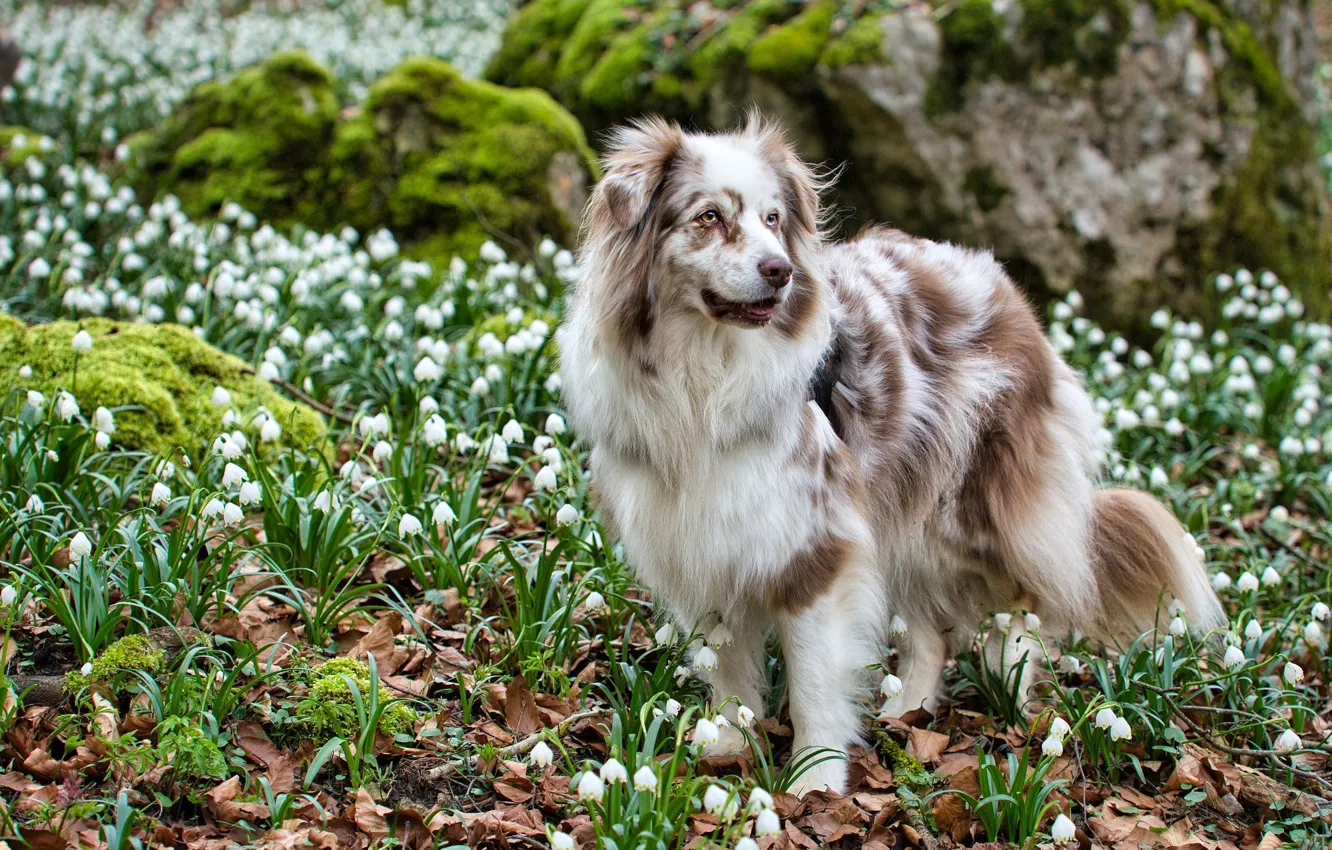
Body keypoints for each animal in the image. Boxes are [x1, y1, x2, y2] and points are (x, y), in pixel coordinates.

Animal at [554, 114, 1225, 799]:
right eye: (709, 216)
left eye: (773, 219)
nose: (779, 270)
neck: (703, 381)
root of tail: (1003, 284)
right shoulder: (707, 541)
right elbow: (728, 671)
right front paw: (728, 751)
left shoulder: (815, 545)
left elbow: (815, 681)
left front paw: (813, 782)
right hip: (903, 516)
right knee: (931, 634)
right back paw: (908, 716)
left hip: (968, 512)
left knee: (1025, 597)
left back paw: (1010, 691)